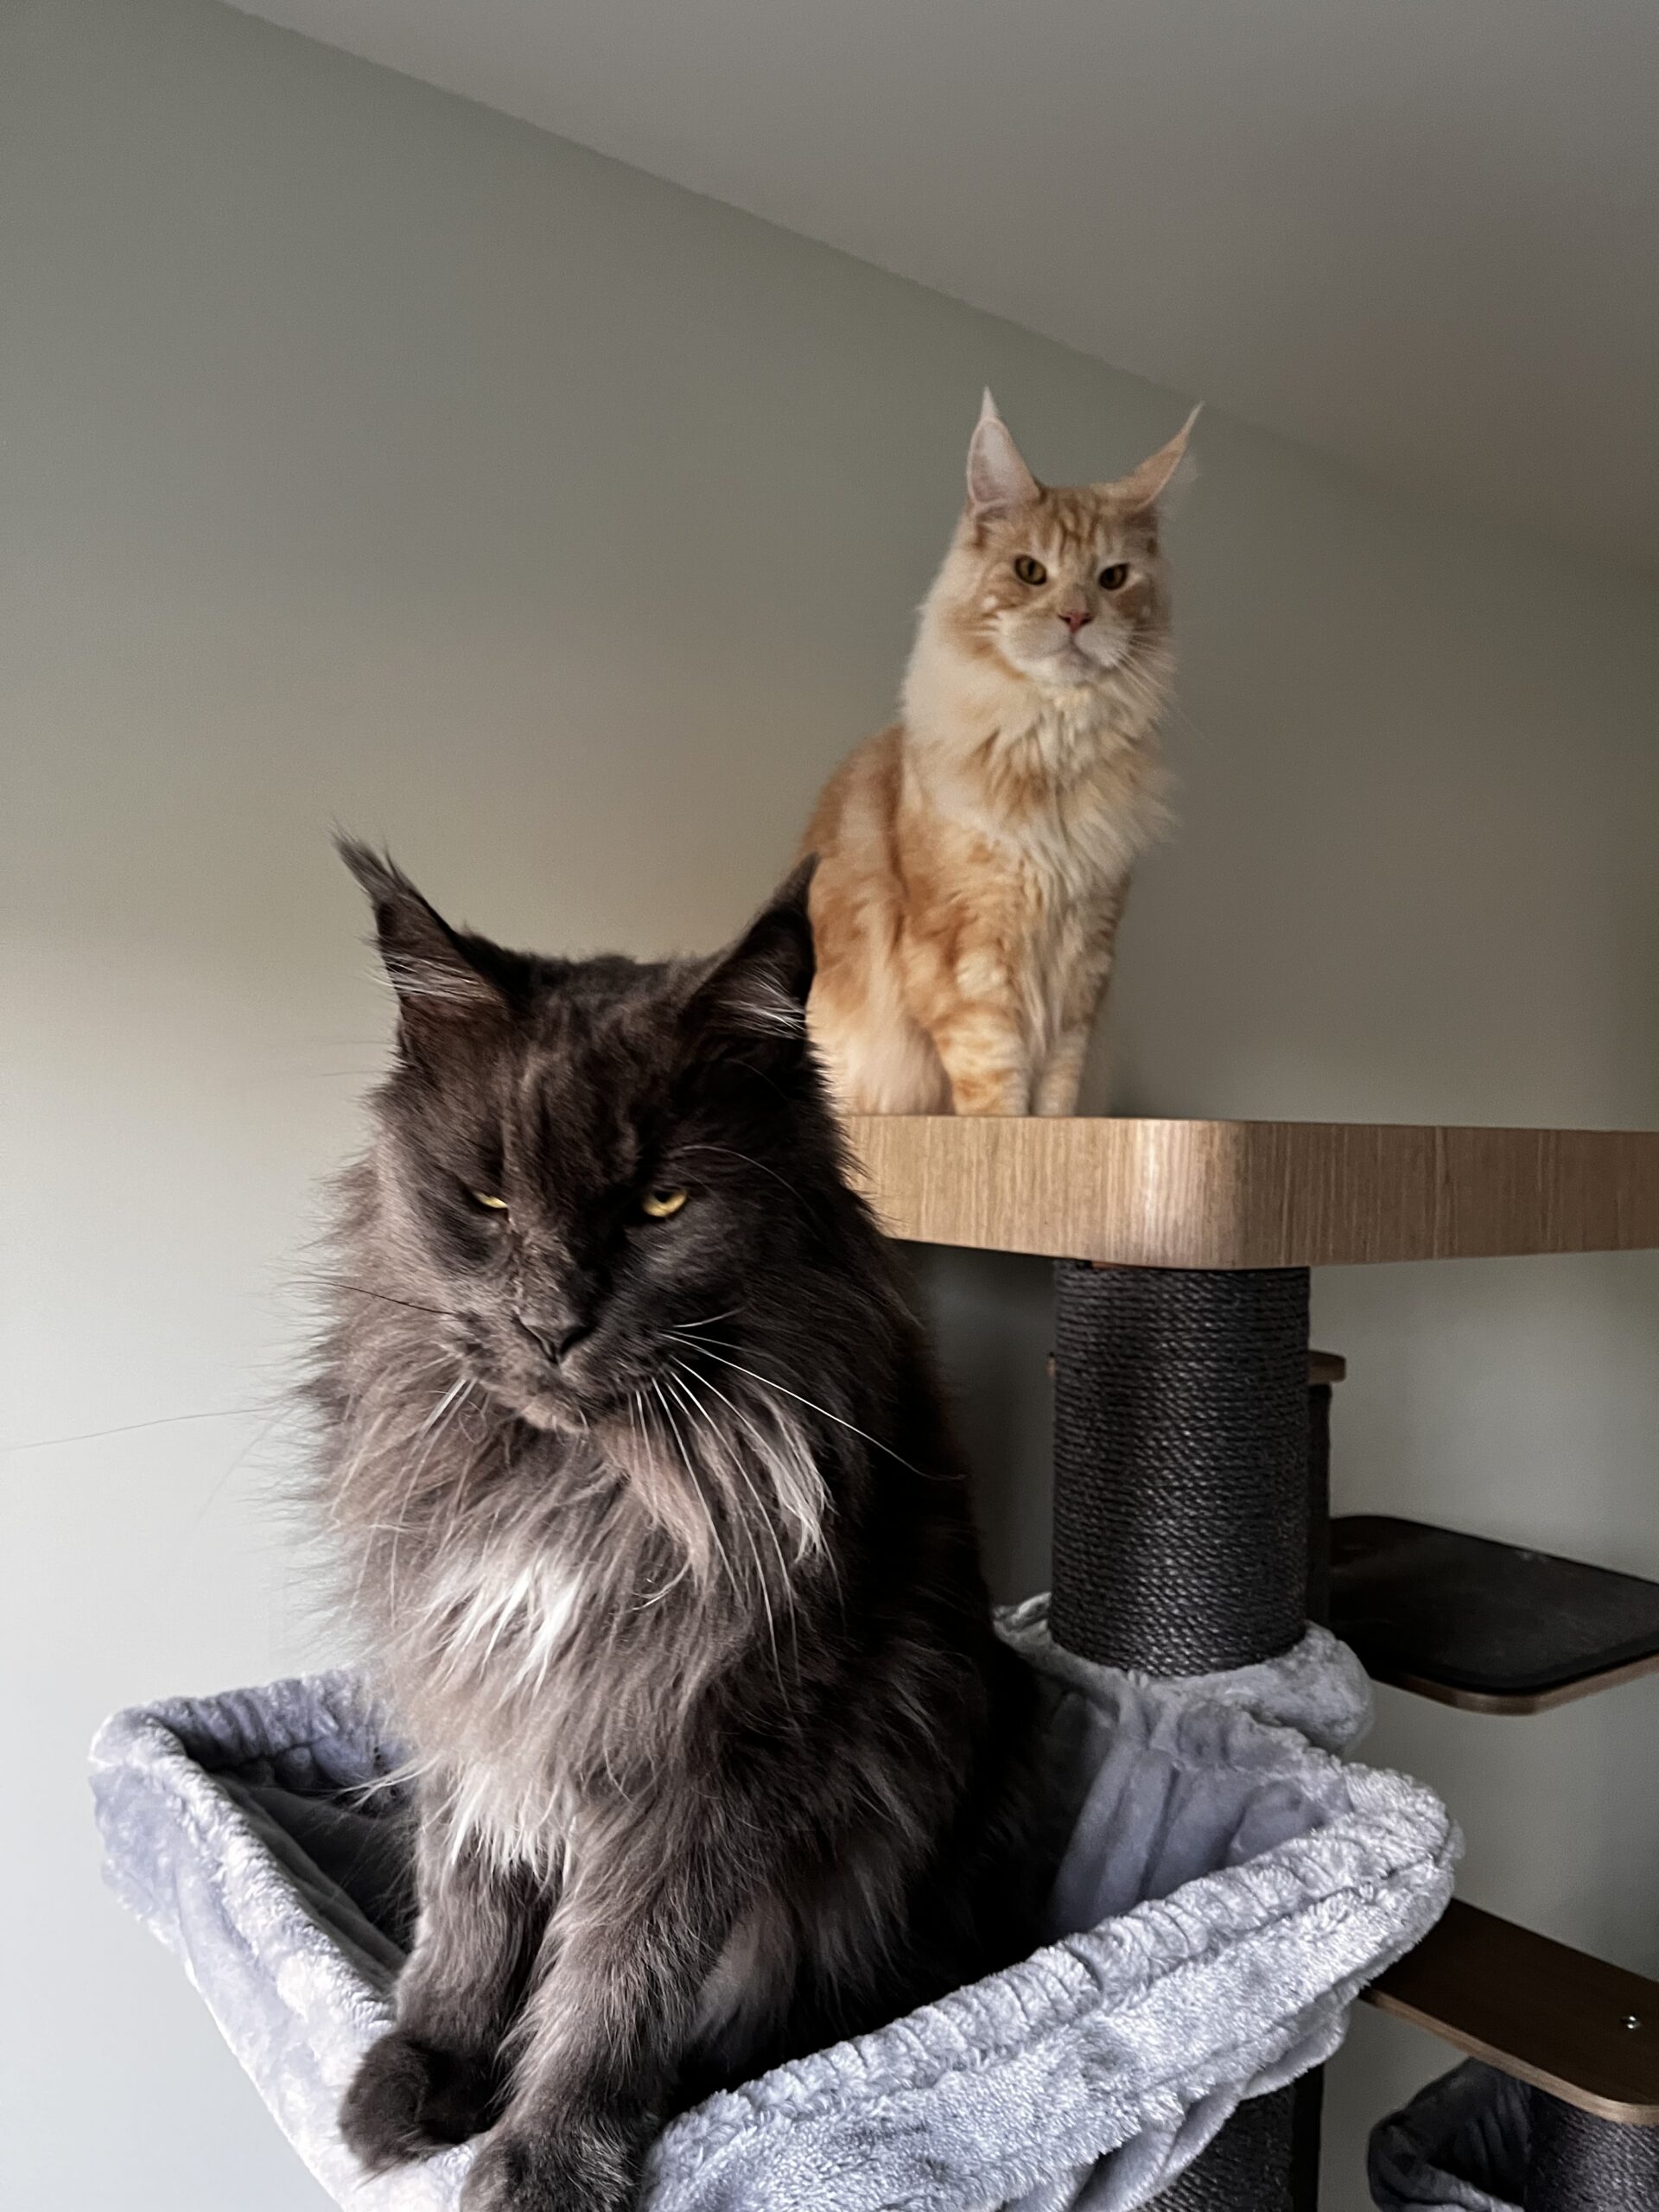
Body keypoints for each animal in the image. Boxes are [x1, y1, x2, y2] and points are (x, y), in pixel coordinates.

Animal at [317, 843, 1043, 2212]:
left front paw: (551, 2154)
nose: (550, 1323)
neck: (585, 1485)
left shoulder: (718, 1753)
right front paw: (425, 2073)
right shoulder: (474, 1694)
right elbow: (468, 1905)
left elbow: (616, 1980)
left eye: (661, 1204)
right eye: (487, 1198)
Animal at [801, 391, 1196, 1116]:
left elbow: (1058, 1087)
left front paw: (1054, 1131)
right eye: (1030, 572)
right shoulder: (966, 957)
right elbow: (996, 1080)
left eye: (1114, 578)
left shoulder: (1084, 961)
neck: (1052, 751)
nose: (1077, 617)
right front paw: (1008, 1125)